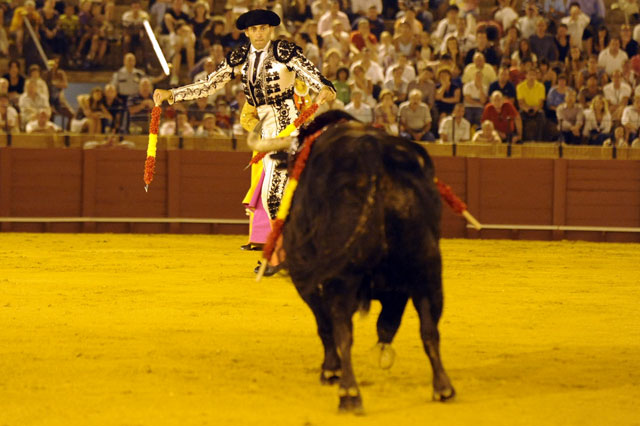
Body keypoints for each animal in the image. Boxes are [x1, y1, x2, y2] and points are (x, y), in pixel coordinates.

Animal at [276, 112, 456, 412]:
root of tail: (370, 152)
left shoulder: (306, 277)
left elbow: (324, 324)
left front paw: (330, 370)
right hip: (427, 264)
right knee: (430, 328)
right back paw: (443, 388)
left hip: (341, 276)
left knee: (342, 329)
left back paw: (349, 393)